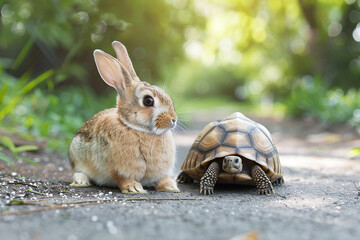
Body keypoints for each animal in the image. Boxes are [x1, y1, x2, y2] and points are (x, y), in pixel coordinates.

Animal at [67, 41, 179, 194]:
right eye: (148, 100)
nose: (174, 119)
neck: (137, 129)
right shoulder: (115, 169)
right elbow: (121, 178)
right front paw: (134, 188)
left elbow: (160, 179)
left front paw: (170, 186)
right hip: (76, 154)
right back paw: (81, 180)